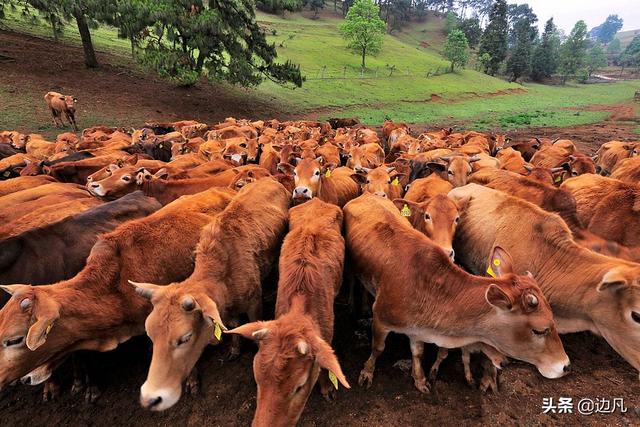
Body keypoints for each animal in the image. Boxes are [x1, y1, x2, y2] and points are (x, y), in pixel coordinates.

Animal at [130, 178, 290, 412]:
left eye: (185, 337)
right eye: (150, 335)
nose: (151, 397)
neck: (223, 271)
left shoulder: (254, 302)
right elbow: (233, 326)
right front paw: (234, 349)